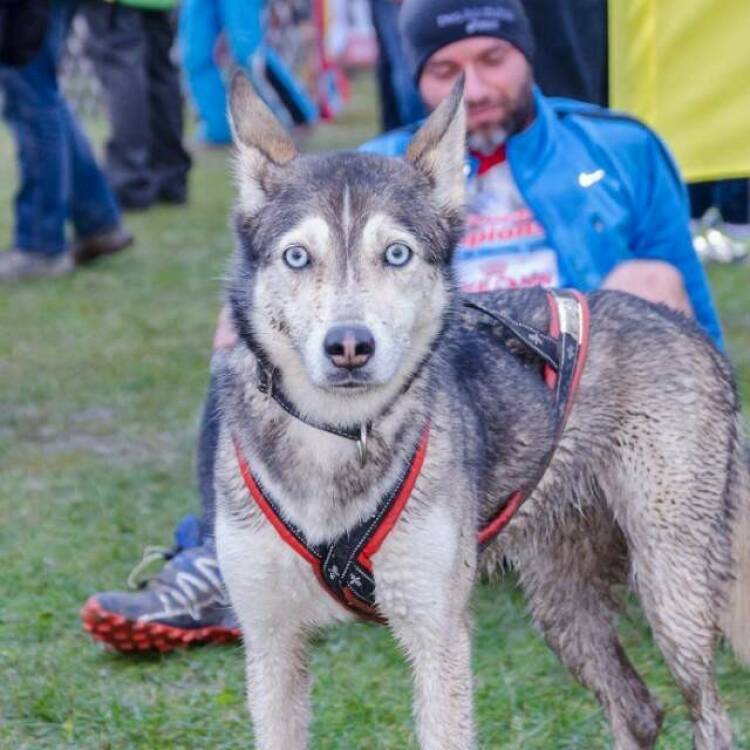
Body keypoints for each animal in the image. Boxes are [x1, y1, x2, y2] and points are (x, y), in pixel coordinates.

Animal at [213, 75, 750, 750]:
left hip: (670, 586)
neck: (338, 439)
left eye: (396, 255)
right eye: (296, 257)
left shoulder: (437, 634)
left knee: (708, 714)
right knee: (637, 707)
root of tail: (687, 327)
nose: (349, 346)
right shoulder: (270, 643)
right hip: (561, 599)